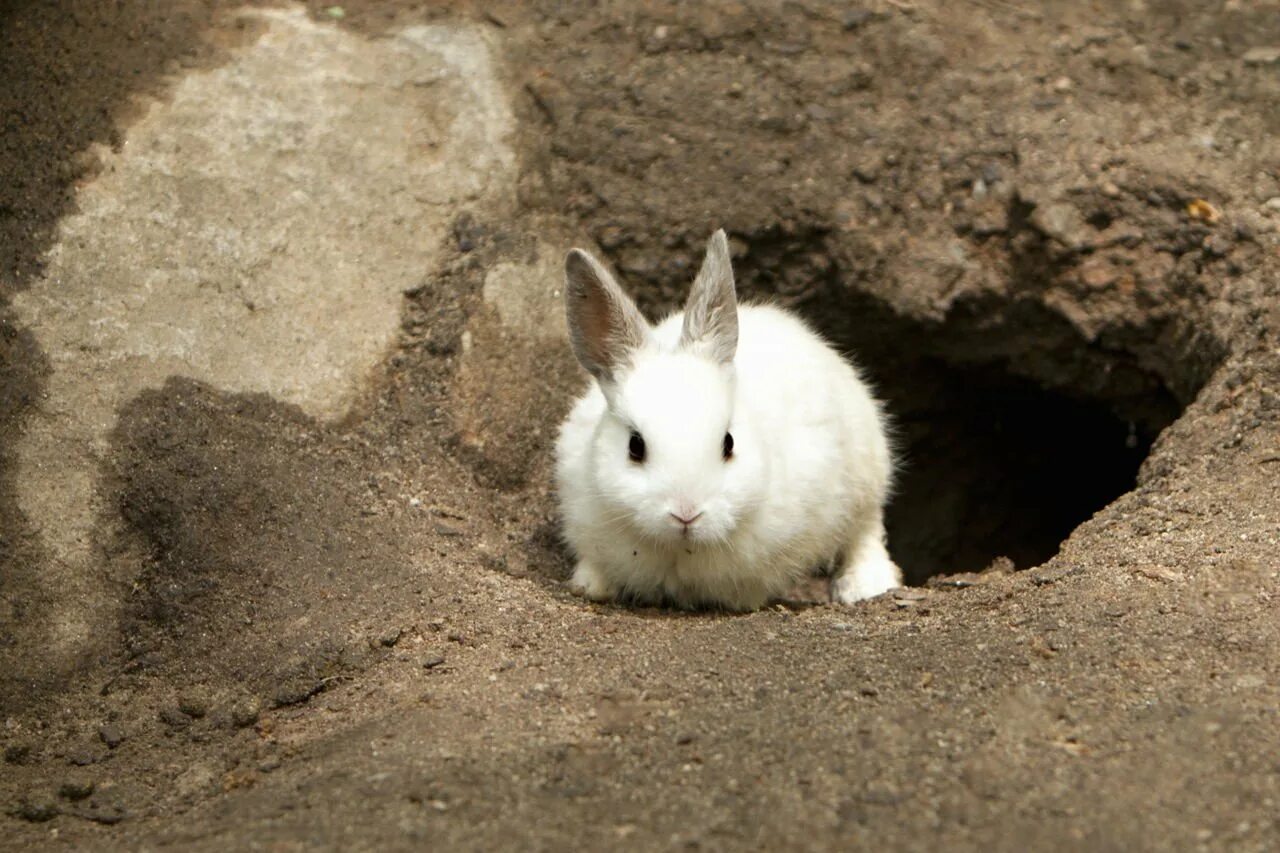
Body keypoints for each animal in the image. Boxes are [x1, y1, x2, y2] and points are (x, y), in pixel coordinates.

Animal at [552, 229, 901, 607]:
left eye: (728, 443)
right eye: (635, 446)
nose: (686, 513)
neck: (680, 550)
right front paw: (590, 587)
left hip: (867, 476)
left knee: (866, 533)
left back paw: (865, 585)